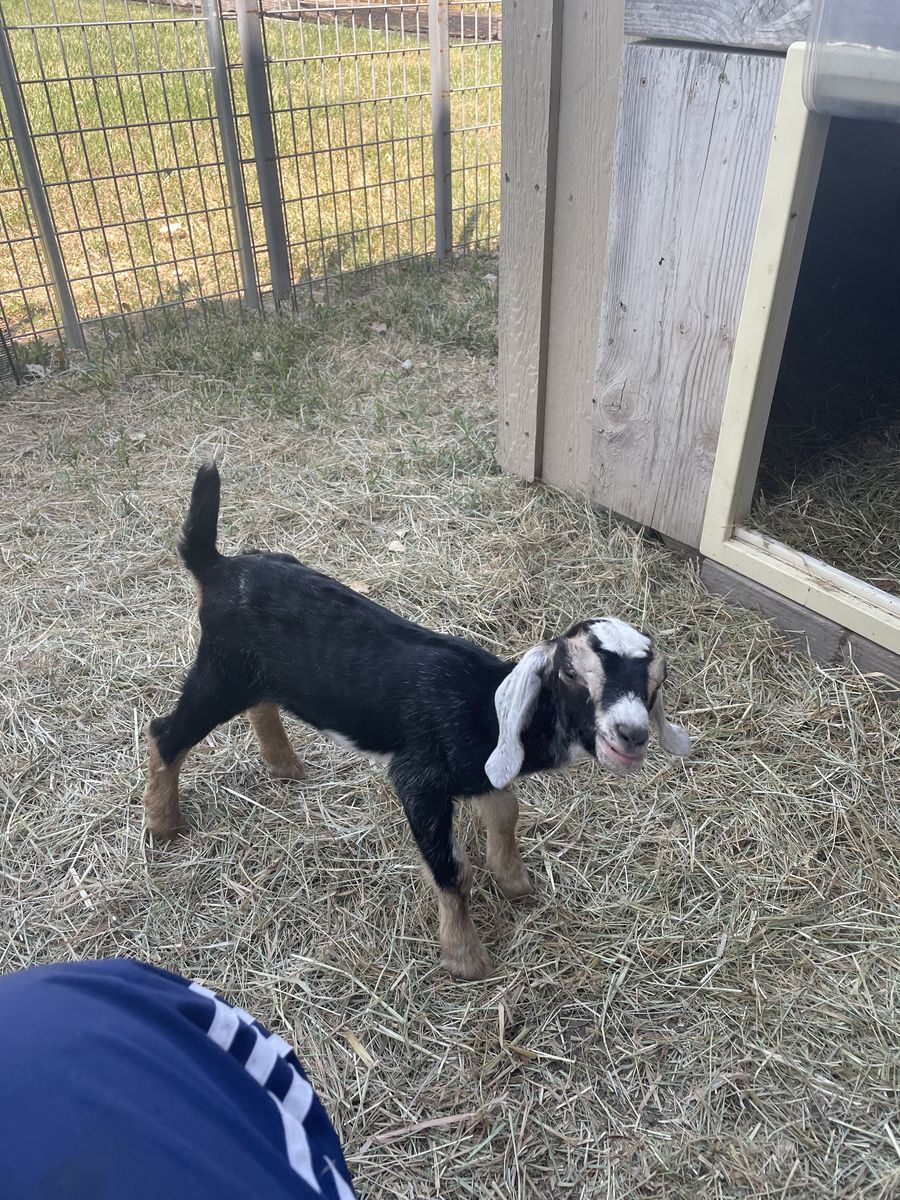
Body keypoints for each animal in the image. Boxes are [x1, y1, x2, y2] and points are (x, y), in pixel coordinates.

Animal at [143, 464, 691, 980]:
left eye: (655, 683)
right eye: (571, 672)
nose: (631, 735)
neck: (481, 703)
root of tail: (216, 566)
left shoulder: (483, 770)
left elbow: (506, 812)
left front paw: (514, 882)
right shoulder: (419, 778)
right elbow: (452, 868)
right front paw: (467, 959)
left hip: (254, 675)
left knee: (259, 705)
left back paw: (284, 766)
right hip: (221, 671)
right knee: (165, 733)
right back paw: (164, 825)